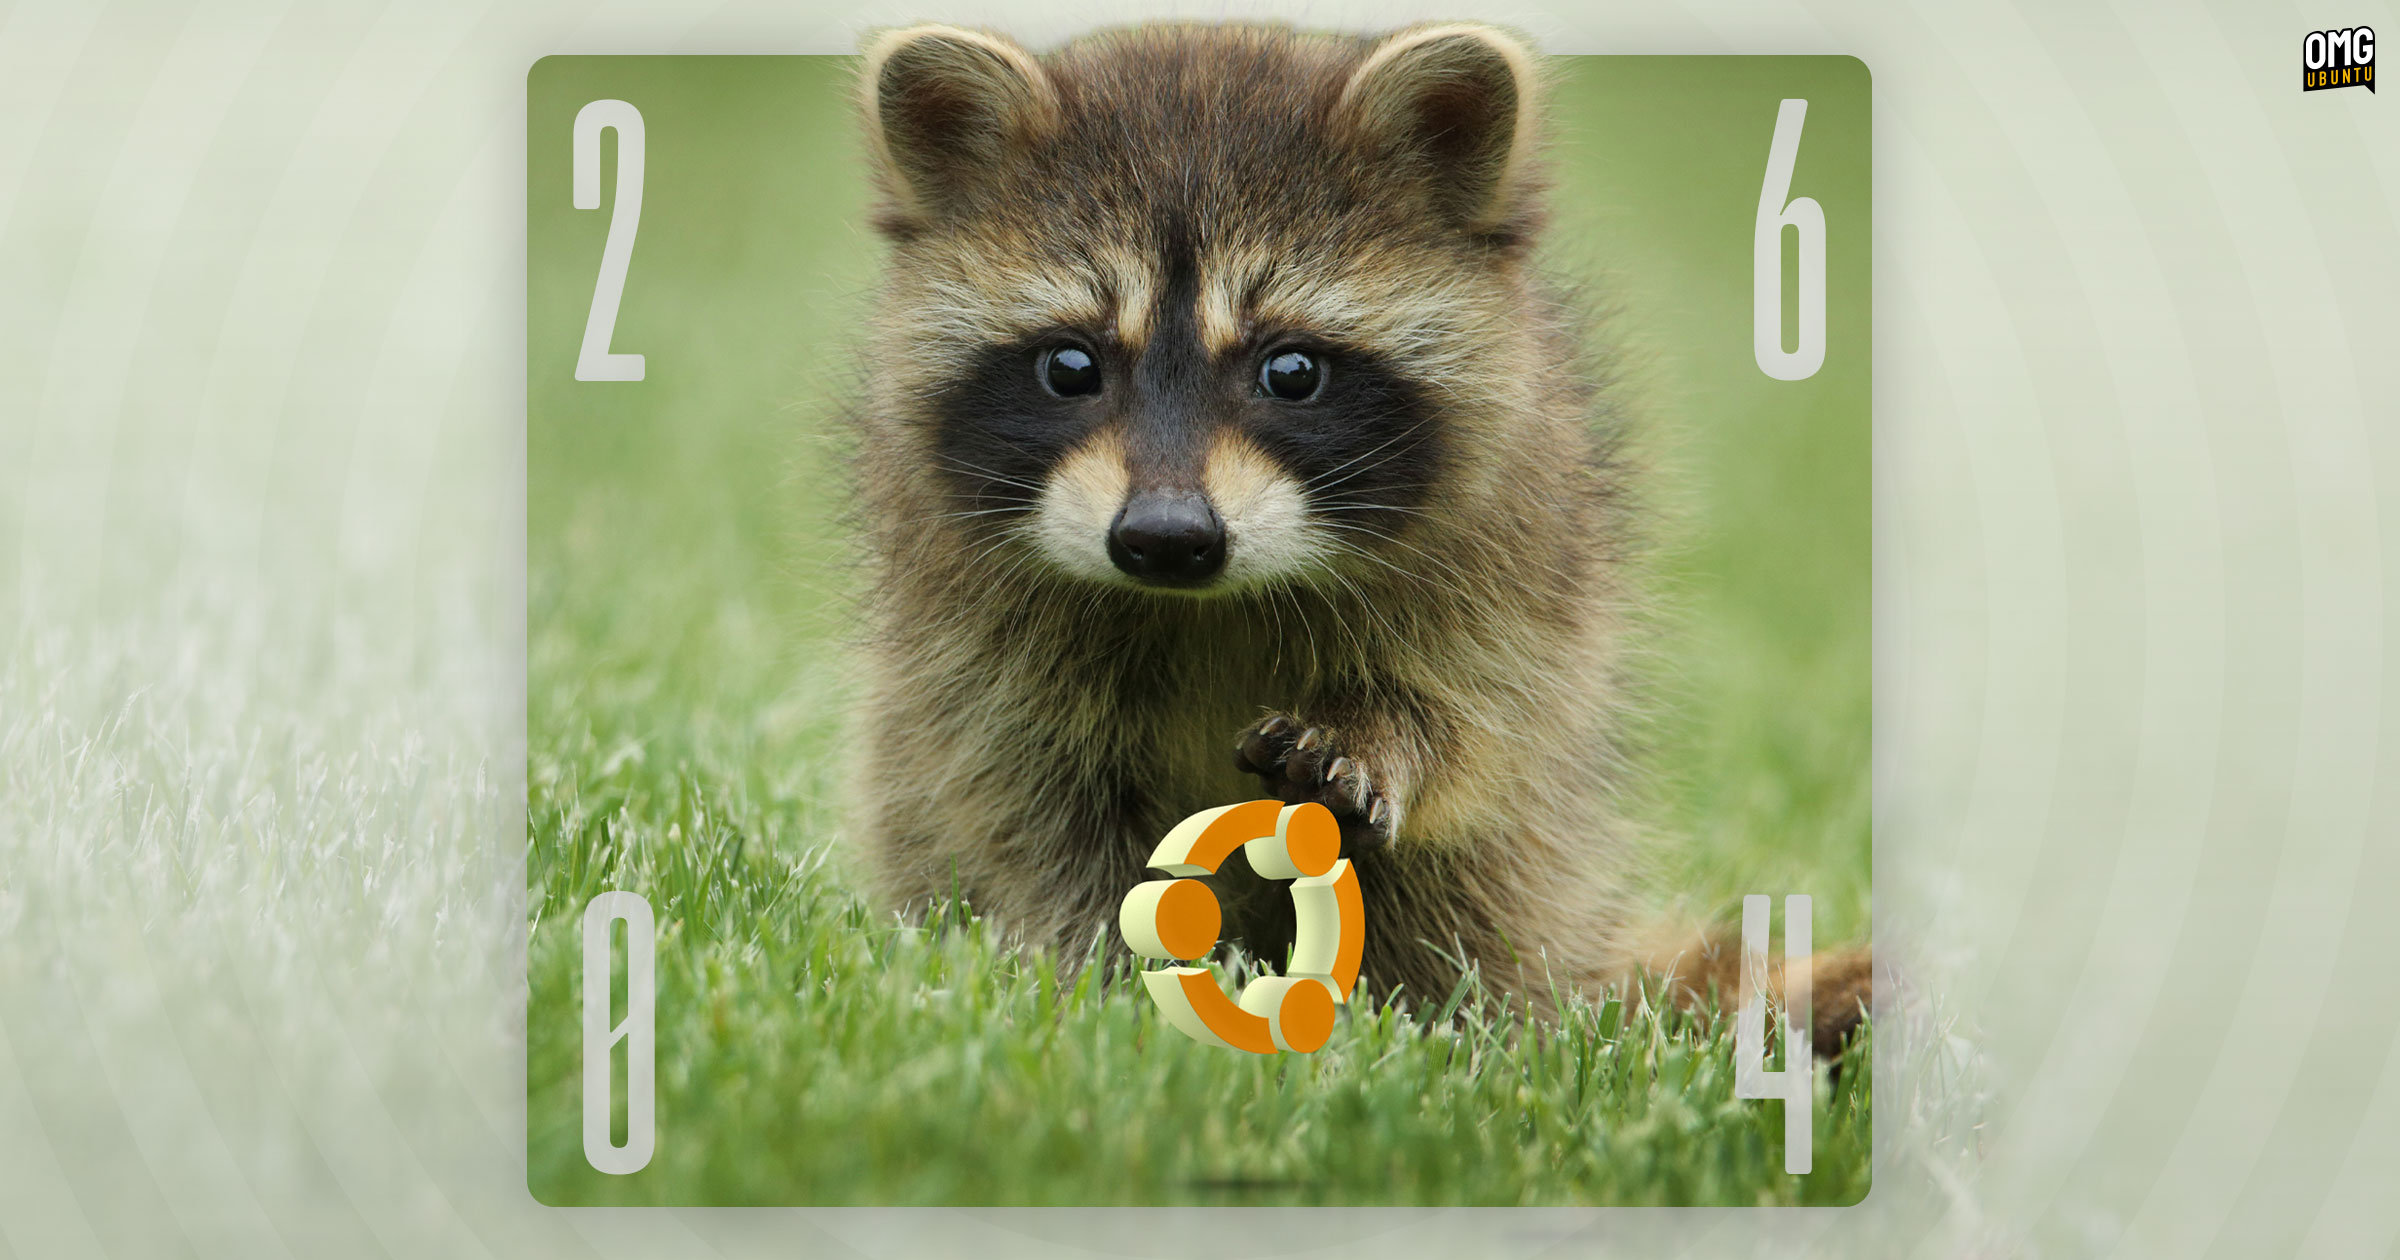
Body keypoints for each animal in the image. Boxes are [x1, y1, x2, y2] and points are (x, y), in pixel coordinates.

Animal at [845, 21, 1870, 1055]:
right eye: (1070, 366)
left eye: (1292, 370)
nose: (1166, 538)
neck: (1205, 604)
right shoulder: (970, 634)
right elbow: (1018, 803)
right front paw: (1103, 981)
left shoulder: (1517, 550)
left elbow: (1477, 716)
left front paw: (1385, 738)